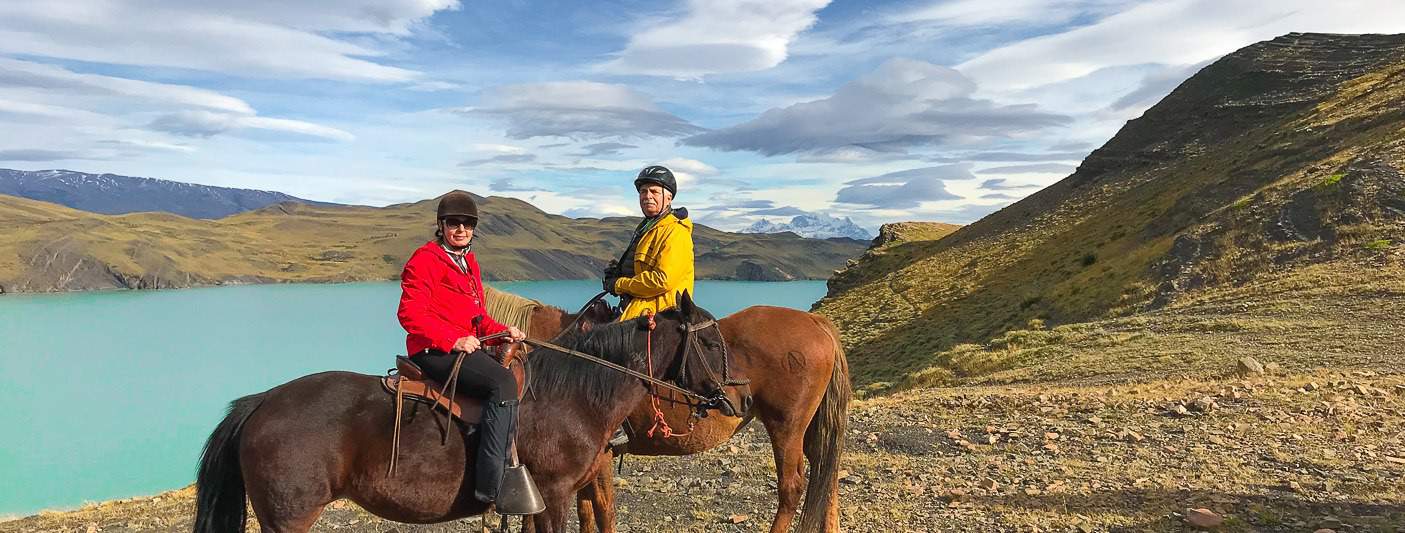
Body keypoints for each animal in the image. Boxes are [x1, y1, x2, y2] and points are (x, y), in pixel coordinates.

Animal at [193, 293, 736, 533]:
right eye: (711, 341)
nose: (732, 399)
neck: (575, 395)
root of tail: (260, 402)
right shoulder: (555, 493)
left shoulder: (543, 499)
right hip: (288, 519)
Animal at [500, 296, 848, 533]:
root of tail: (816, 322)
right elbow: (585, 512)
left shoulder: (595, 460)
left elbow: (600, 510)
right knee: (826, 475)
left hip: (786, 428)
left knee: (792, 487)